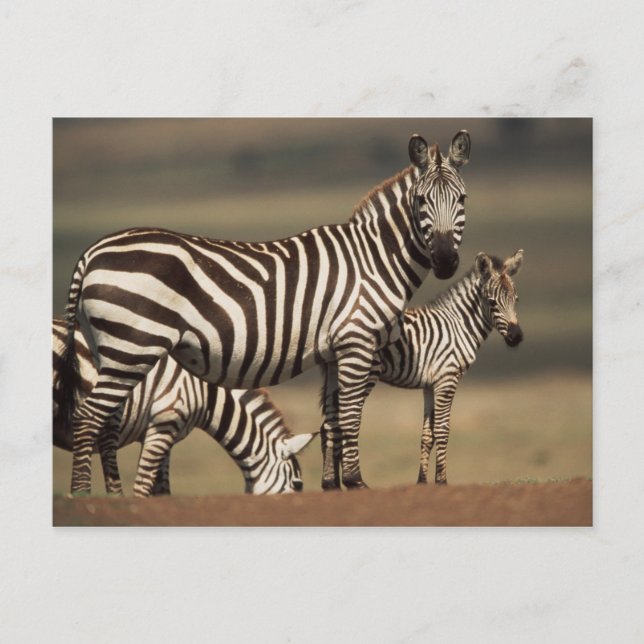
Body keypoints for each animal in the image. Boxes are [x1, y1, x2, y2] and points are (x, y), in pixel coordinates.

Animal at [53, 318, 316, 495]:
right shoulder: (165, 421)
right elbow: (144, 487)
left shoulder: (162, 433)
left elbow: (162, 490)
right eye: (297, 485)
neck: (204, 392)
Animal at [322, 250, 524, 486]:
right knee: (342, 420)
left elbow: (428, 434)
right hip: (363, 371)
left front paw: (421, 482)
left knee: (329, 425)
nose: (516, 337)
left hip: (333, 373)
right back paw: (345, 482)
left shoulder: (430, 384)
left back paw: (331, 485)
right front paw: (442, 481)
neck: (459, 325)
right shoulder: (447, 378)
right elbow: (443, 430)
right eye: (492, 302)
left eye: (516, 299)